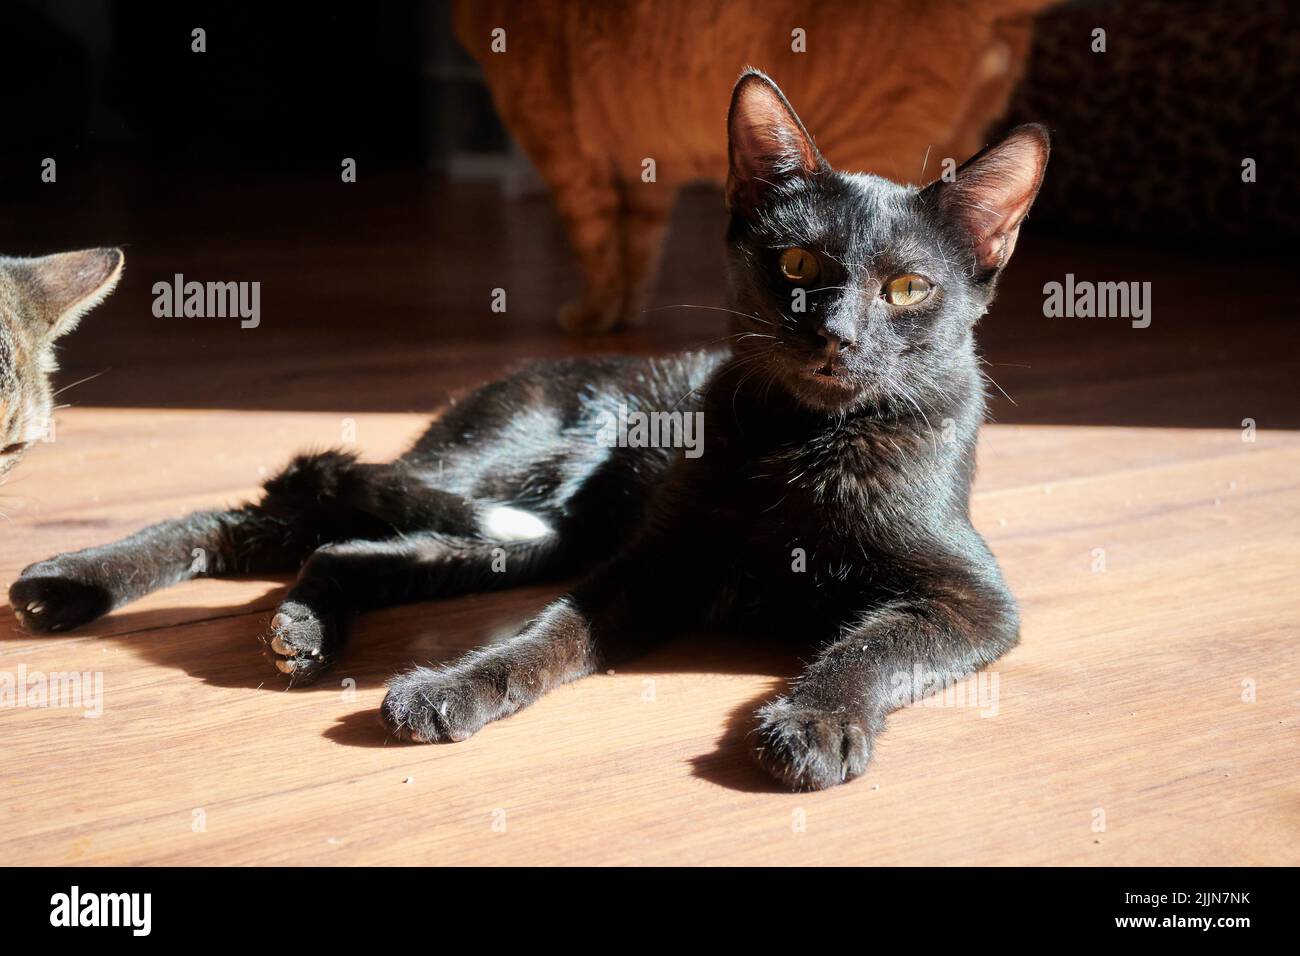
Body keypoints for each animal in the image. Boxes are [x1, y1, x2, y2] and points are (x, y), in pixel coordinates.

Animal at [7, 72, 1045, 790]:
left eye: (906, 287)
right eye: (794, 264)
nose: (835, 336)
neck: (805, 442)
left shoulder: (971, 599)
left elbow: (875, 647)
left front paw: (816, 721)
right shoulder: (646, 566)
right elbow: (552, 633)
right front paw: (461, 685)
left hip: (533, 534)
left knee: (343, 548)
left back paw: (303, 627)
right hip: (496, 475)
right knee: (282, 505)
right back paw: (72, 583)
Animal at [452, 0, 1050, 332]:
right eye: (798, 265)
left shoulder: (556, 136)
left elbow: (595, 241)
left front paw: (595, 316)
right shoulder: (644, 161)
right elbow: (637, 245)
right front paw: (625, 314)